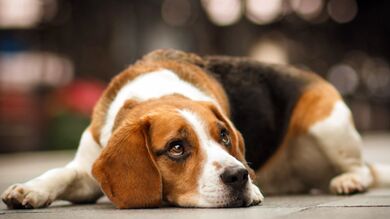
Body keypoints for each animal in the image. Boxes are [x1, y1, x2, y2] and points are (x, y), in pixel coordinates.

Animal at [1, 49, 388, 209]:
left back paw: (348, 181)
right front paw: (29, 191)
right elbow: (60, 173)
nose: (240, 176)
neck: (155, 92)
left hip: (327, 123)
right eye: (176, 147)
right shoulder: (88, 168)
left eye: (224, 136)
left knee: (361, 168)